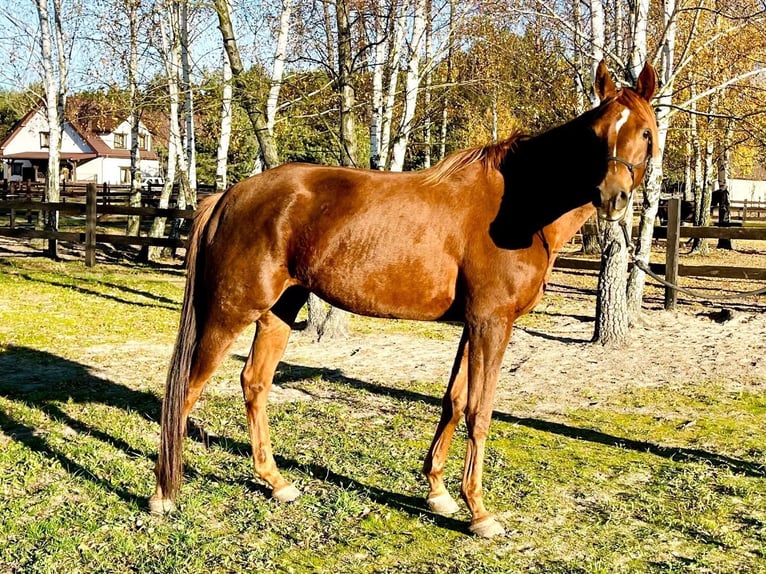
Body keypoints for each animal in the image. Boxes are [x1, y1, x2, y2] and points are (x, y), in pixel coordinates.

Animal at [150, 63, 660, 540]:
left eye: (645, 131)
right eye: (596, 133)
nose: (611, 198)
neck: (519, 206)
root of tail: (228, 195)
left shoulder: (473, 325)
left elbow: (453, 401)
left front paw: (438, 492)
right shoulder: (493, 323)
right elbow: (479, 411)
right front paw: (479, 513)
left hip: (279, 310)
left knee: (254, 383)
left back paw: (277, 483)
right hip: (230, 311)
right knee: (187, 390)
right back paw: (162, 495)